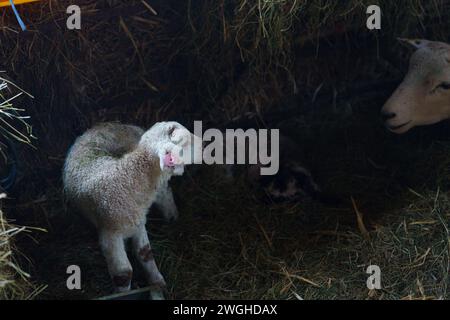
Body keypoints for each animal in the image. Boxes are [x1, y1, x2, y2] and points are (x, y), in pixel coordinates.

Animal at [62, 122, 200, 292]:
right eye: (185, 142)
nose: (203, 144)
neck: (128, 178)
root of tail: (105, 124)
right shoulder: (112, 234)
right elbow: (123, 273)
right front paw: (123, 293)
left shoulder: (137, 222)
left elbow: (145, 253)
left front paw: (157, 282)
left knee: (165, 193)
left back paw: (172, 217)